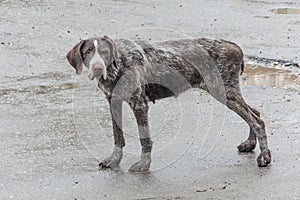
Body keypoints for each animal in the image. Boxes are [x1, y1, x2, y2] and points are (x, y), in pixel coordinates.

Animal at [66, 35, 272, 172]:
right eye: (88, 52)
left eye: (105, 52)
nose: (97, 68)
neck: (120, 65)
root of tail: (234, 46)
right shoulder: (113, 102)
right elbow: (118, 137)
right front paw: (114, 160)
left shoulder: (139, 104)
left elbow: (144, 139)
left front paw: (144, 164)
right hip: (228, 93)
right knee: (255, 113)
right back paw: (249, 144)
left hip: (223, 92)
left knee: (257, 121)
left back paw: (264, 157)